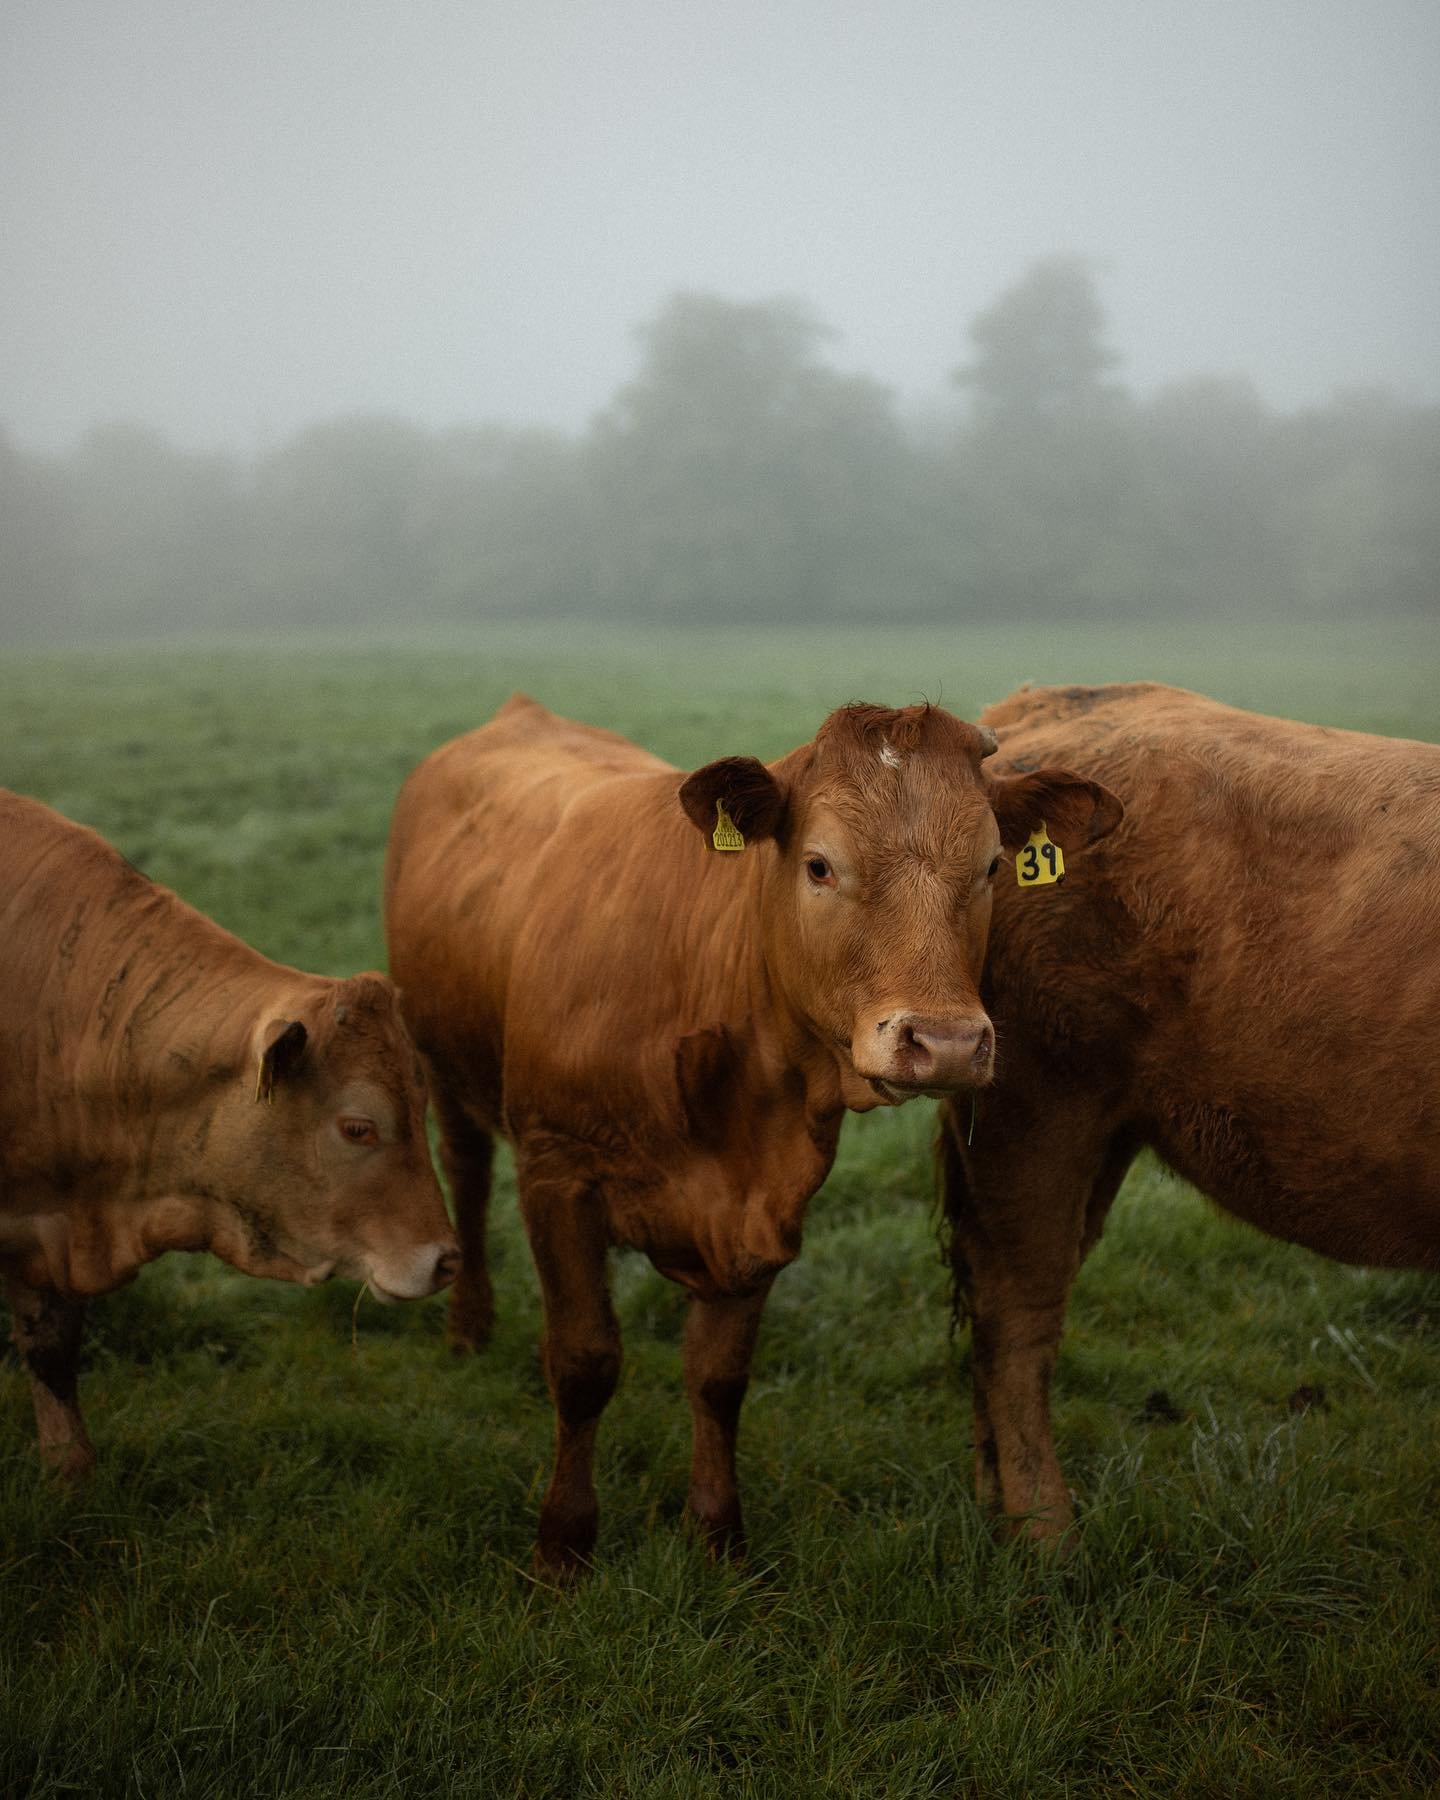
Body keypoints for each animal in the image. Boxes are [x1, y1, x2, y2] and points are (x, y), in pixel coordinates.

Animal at [385, 694, 1123, 1569]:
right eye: (820, 865)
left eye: (989, 868)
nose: (944, 1042)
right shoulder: (556, 1176)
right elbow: (584, 1362)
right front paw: (563, 1547)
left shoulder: (768, 1207)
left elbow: (718, 1376)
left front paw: (718, 1536)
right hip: (440, 1058)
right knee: (464, 1172)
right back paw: (468, 1325)